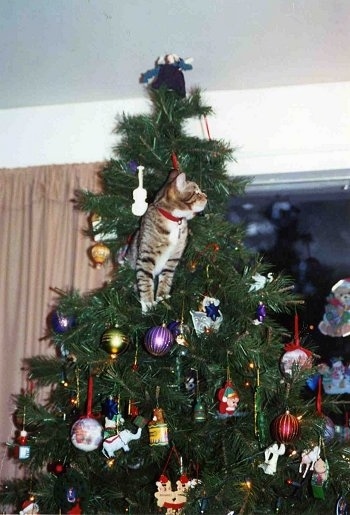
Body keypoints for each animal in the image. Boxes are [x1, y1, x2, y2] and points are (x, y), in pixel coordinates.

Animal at [126, 171, 206, 312]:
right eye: (197, 193)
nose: (206, 196)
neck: (174, 220)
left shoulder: (173, 258)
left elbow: (167, 277)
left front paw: (162, 296)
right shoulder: (146, 256)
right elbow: (145, 278)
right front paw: (148, 303)